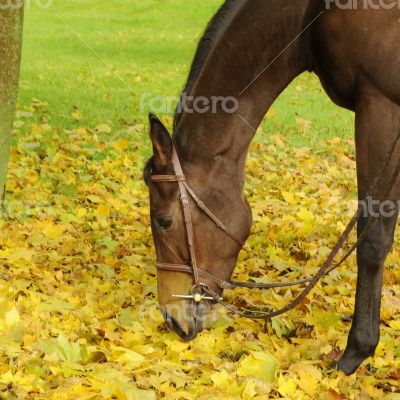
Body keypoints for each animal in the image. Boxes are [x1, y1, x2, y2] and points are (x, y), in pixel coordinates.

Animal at [144, 0, 400, 376]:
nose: (172, 319)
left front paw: (357, 351)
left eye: (164, 221)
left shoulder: (381, 108)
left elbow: (373, 240)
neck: (312, 13)